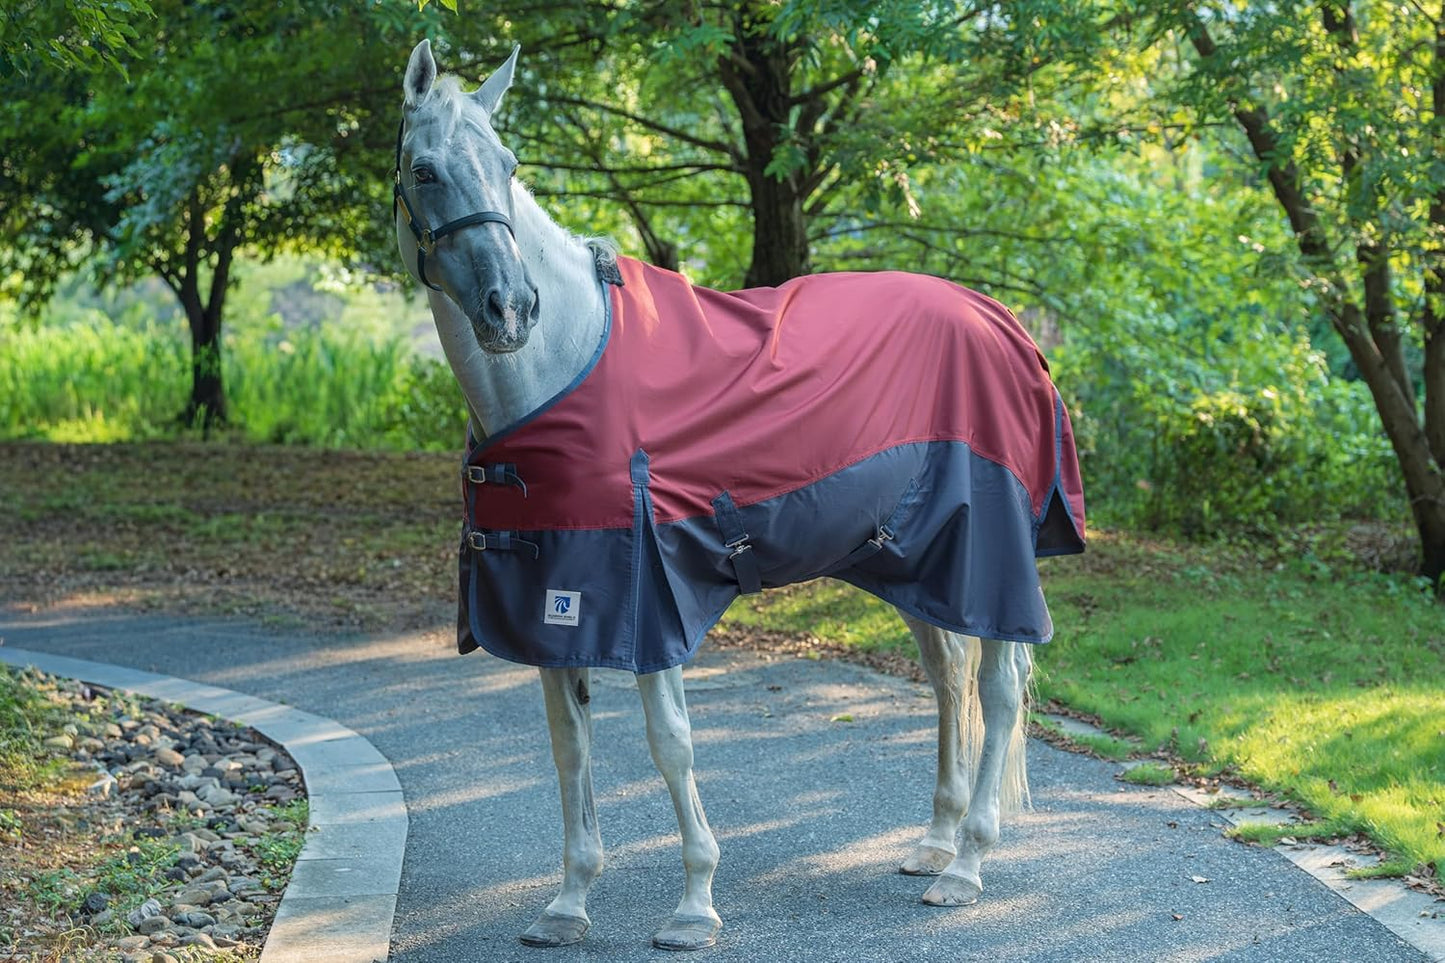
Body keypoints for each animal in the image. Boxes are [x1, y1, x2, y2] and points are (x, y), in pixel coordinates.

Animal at [392, 40, 1085, 952]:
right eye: (426, 170)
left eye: (508, 165)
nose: (513, 308)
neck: (565, 365)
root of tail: (999, 320)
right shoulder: (553, 602)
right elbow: (570, 749)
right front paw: (567, 903)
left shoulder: (643, 597)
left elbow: (670, 744)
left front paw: (694, 904)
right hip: (914, 561)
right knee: (949, 675)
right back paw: (934, 843)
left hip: (989, 552)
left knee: (999, 686)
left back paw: (966, 864)